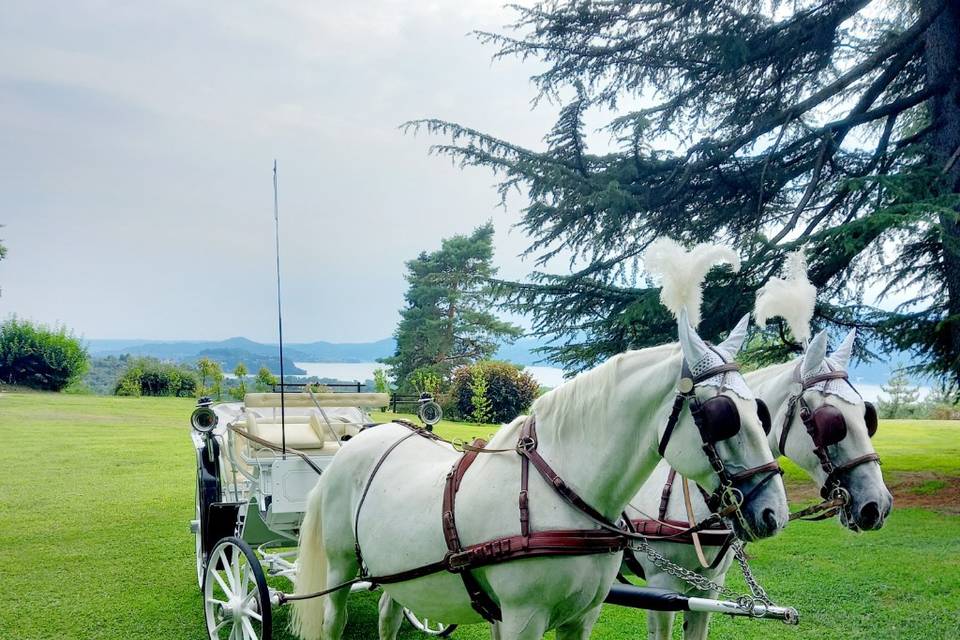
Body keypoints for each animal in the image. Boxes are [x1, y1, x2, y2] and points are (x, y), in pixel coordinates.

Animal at [292, 316, 788, 640]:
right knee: (333, 619)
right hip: (340, 565)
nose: (774, 514)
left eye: (761, 412)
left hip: (395, 570)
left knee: (388, 614)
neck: (564, 495)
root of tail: (362, 438)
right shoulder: (522, 619)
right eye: (721, 416)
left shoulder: (581, 619)